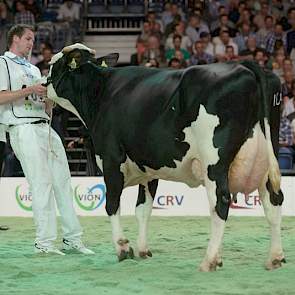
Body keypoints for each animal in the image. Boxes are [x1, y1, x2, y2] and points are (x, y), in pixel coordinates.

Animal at [47, 42, 286, 272]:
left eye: (53, 64)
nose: (43, 83)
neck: (101, 93)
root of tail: (245, 66)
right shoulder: (148, 169)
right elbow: (143, 209)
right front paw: (143, 250)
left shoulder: (111, 160)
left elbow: (113, 204)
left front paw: (122, 248)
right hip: (266, 158)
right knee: (273, 201)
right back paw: (274, 258)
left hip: (214, 161)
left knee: (221, 202)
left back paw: (209, 260)